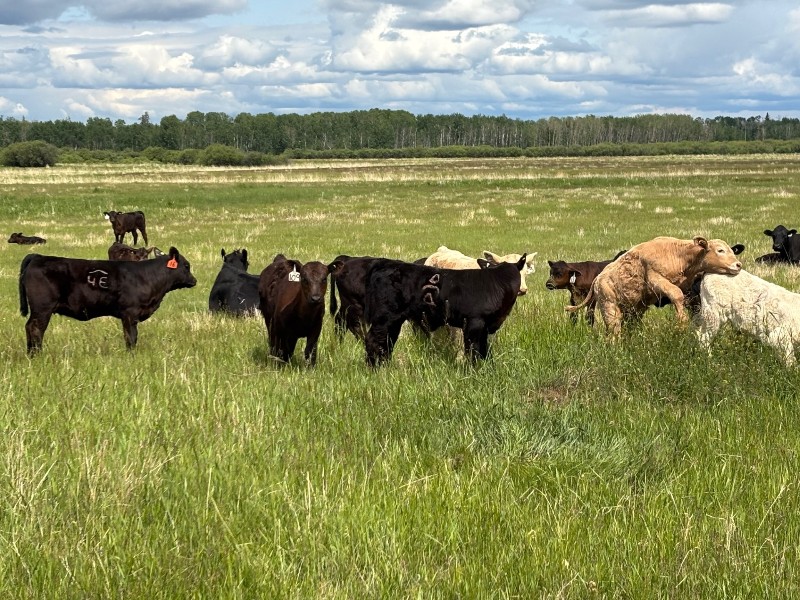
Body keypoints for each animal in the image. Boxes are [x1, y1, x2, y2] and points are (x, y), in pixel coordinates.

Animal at [18, 247, 196, 355]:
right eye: (187, 266)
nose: (194, 281)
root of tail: (38, 256)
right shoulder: (130, 313)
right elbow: (131, 337)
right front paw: (131, 356)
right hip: (42, 308)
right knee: (35, 329)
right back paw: (37, 355)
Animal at [363, 255, 526, 365]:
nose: (522, 290)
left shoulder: (486, 327)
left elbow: (485, 350)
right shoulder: (474, 323)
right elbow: (473, 349)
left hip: (395, 320)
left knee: (387, 341)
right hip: (385, 317)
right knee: (374, 340)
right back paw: (374, 368)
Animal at [566, 237, 742, 337]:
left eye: (732, 251)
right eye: (720, 250)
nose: (738, 265)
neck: (678, 254)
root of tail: (598, 279)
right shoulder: (656, 279)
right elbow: (676, 294)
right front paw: (681, 322)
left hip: (633, 310)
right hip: (610, 308)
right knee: (613, 331)